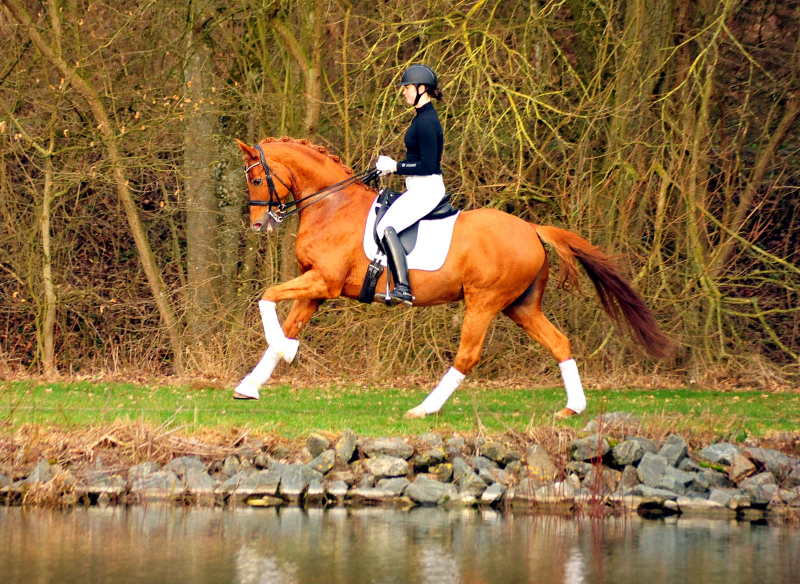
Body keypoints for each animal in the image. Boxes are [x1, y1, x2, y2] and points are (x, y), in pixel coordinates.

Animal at [234, 137, 672, 420]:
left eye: (255, 179)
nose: (258, 225)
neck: (331, 204)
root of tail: (532, 229)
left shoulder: (324, 282)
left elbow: (266, 297)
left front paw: (285, 353)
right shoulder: (317, 287)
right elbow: (287, 323)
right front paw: (251, 385)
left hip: (484, 302)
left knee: (467, 355)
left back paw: (424, 408)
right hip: (521, 307)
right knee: (559, 342)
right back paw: (573, 407)